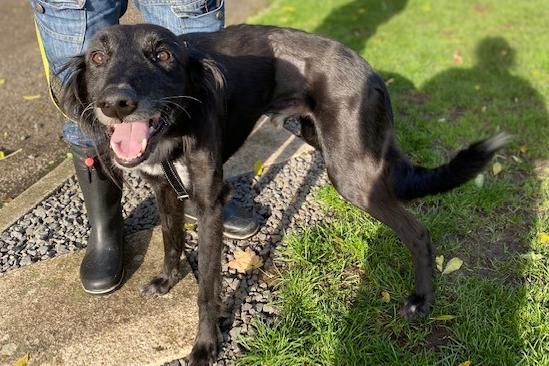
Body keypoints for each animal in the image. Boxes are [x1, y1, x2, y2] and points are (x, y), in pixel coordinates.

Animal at [61, 24, 506, 364]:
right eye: (97, 58)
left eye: (164, 55)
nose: (116, 103)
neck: (175, 124)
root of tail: (369, 70)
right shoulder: (163, 189)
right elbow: (171, 241)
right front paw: (167, 280)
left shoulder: (209, 205)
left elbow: (207, 288)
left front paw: (205, 346)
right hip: (315, 137)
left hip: (351, 173)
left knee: (417, 231)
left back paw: (421, 300)